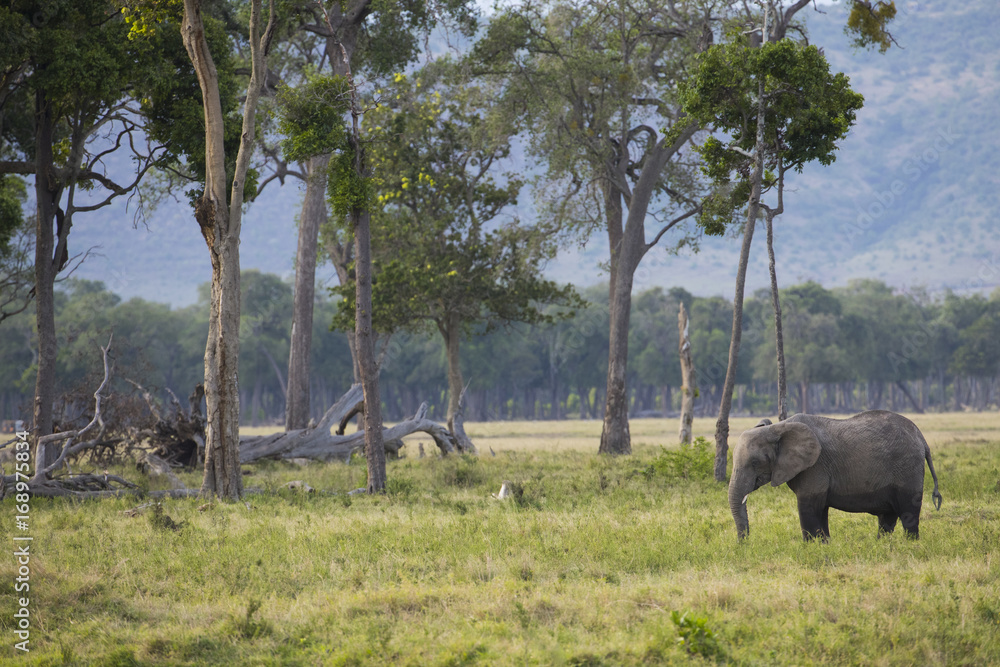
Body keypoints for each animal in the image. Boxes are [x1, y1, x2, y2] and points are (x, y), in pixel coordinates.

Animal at [728, 410, 942, 541]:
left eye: (755, 463)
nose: (743, 544)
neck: (778, 427)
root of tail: (922, 439)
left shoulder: (815, 466)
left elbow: (808, 507)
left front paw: (811, 548)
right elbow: (820, 509)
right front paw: (823, 546)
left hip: (907, 468)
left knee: (908, 513)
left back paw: (909, 544)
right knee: (888, 518)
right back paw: (883, 545)